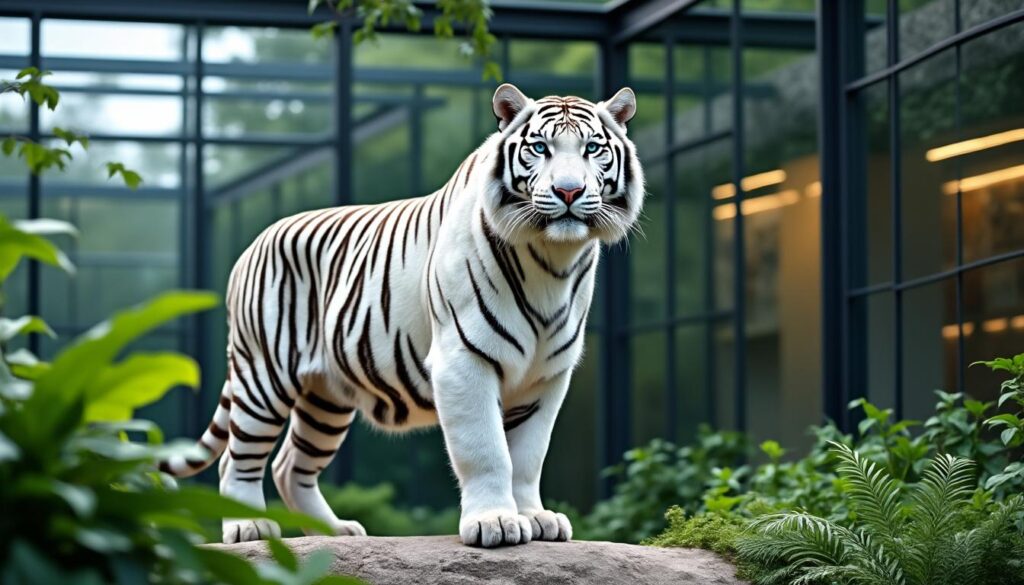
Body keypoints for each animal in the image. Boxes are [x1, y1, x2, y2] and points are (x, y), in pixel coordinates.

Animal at [160, 83, 645, 548]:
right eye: (541, 148)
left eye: (592, 148)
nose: (569, 191)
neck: (551, 258)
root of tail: (253, 245)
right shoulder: (463, 360)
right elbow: (486, 449)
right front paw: (494, 523)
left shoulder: (546, 374)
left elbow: (527, 456)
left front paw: (534, 517)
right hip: (265, 374)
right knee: (237, 457)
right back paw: (249, 528)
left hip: (325, 395)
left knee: (290, 465)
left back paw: (335, 532)